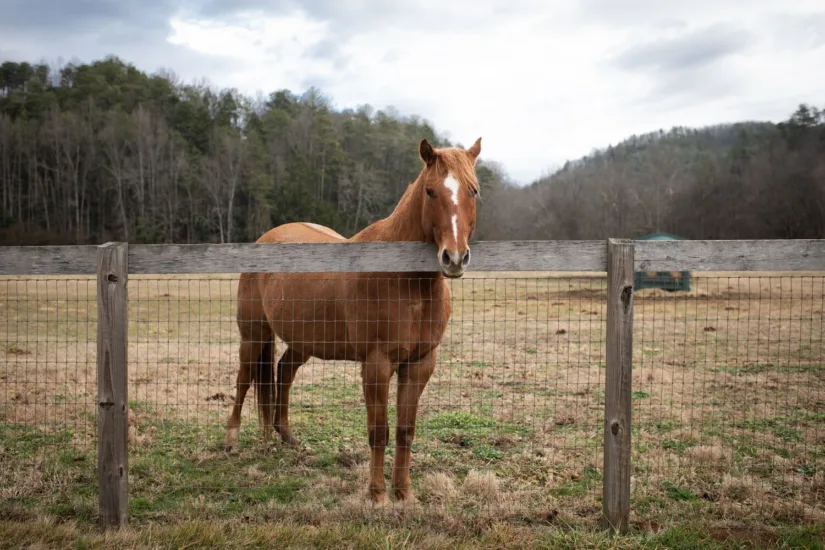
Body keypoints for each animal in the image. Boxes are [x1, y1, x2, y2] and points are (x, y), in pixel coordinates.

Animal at [222, 137, 482, 505]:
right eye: (431, 191)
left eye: (473, 190)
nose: (455, 258)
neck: (405, 281)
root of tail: (266, 239)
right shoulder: (376, 365)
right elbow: (378, 431)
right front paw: (377, 495)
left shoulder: (420, 363)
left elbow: (405, 430)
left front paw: (405, 493)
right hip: (253, 335)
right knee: (244, 379)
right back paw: (231, 440)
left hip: (304, 341)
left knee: (284, 373)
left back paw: (286, 436)